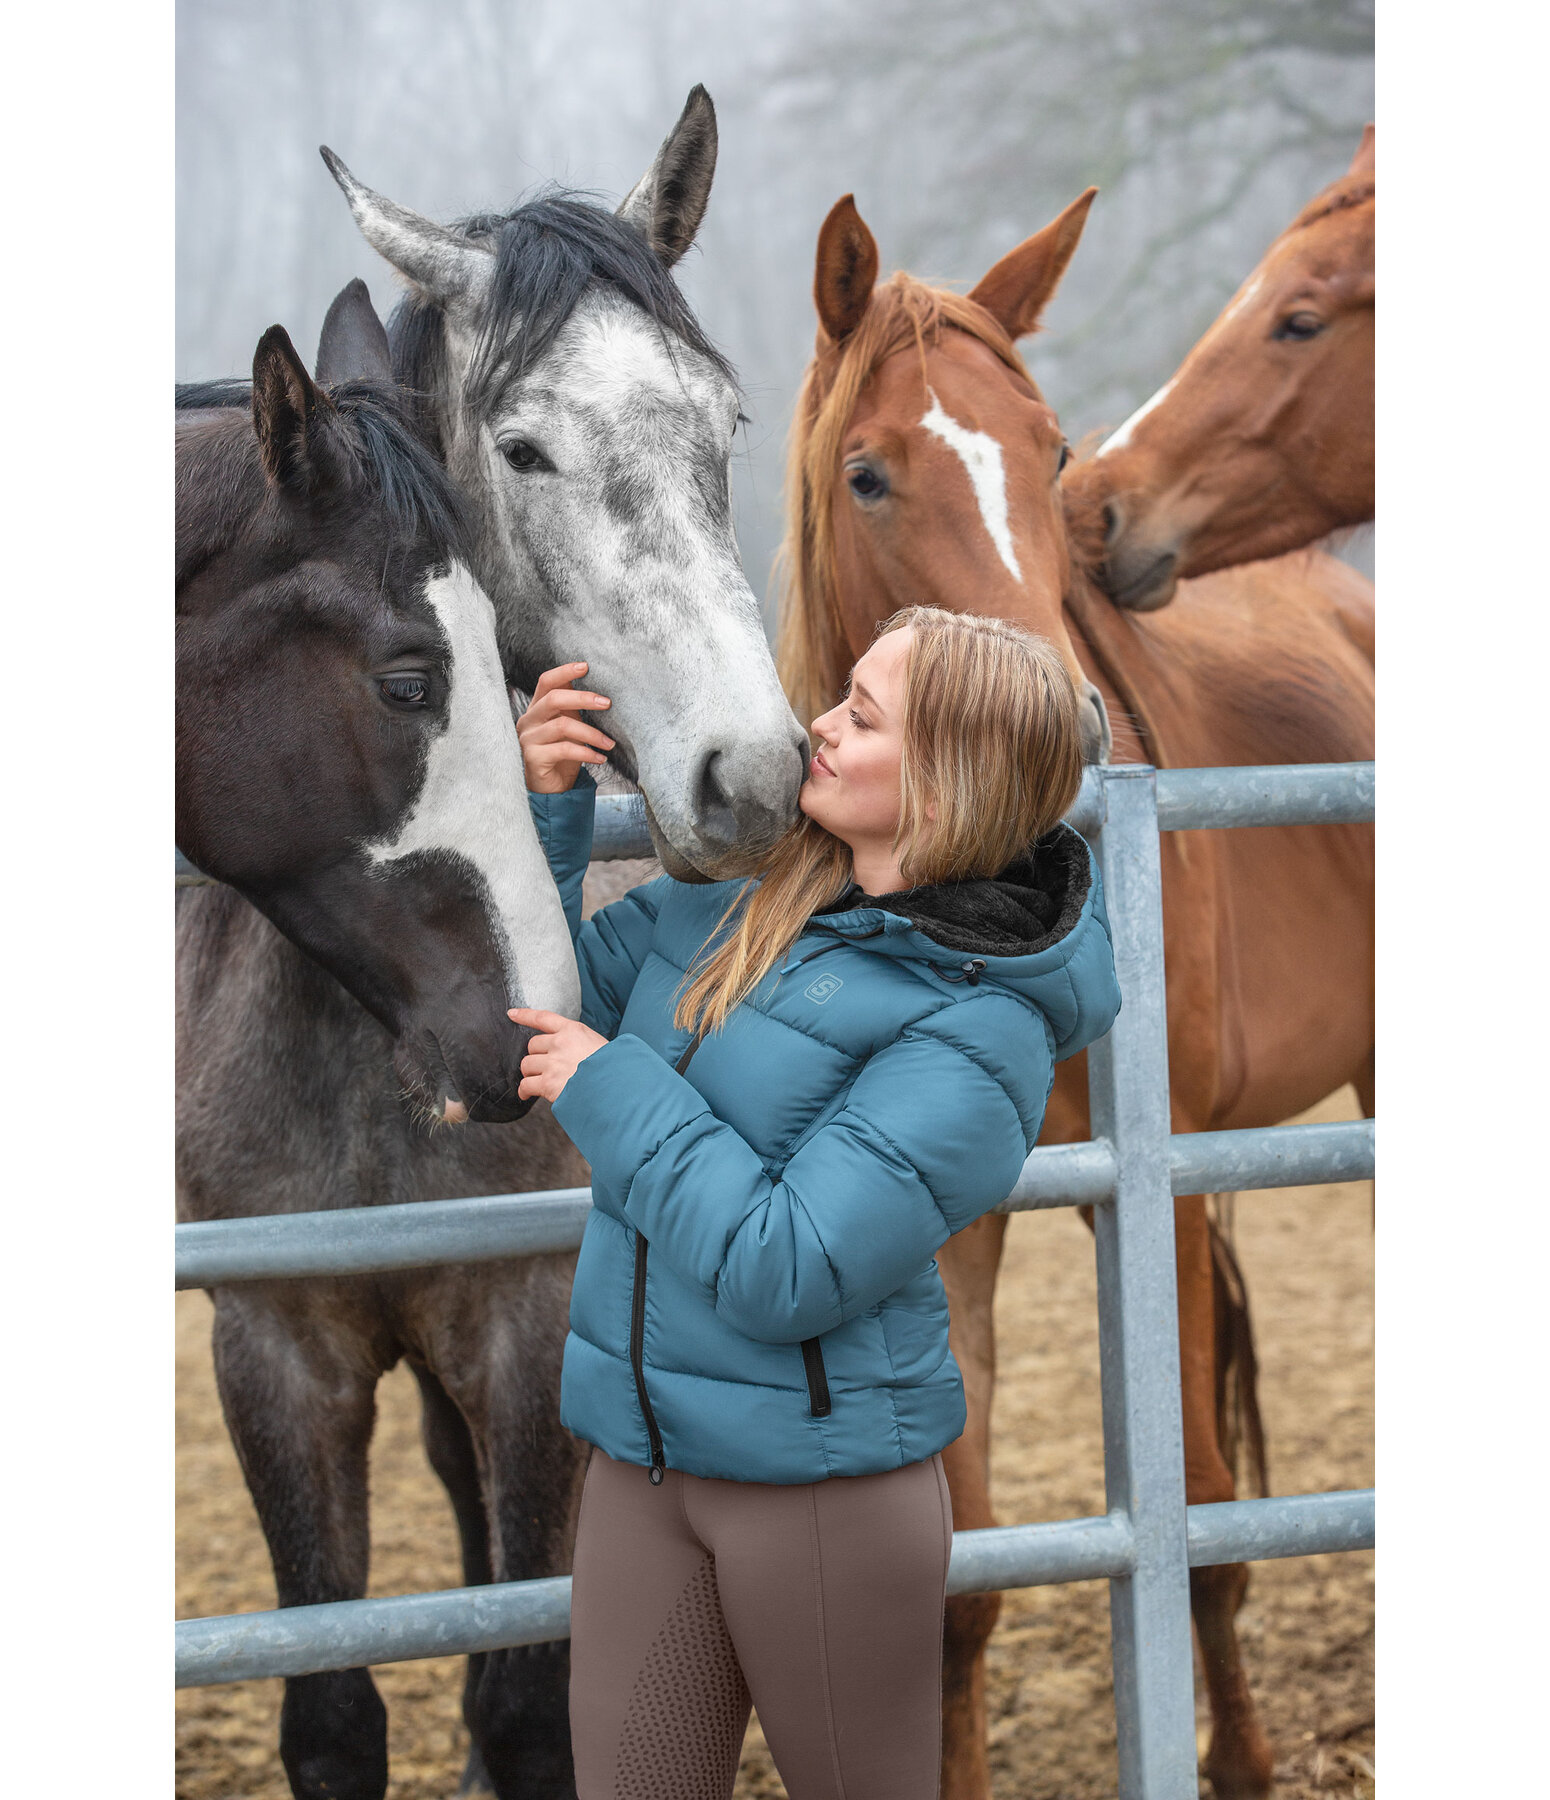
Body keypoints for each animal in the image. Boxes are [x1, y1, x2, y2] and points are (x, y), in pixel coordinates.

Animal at [781, 189, 1375, 1792]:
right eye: (867, 474)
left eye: (1047, 451)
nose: (1063, 728)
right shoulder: (938, 1229)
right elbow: (954, 1580)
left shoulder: (1152, 1190)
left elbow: (1203, 1514)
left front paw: (1236, 1762)